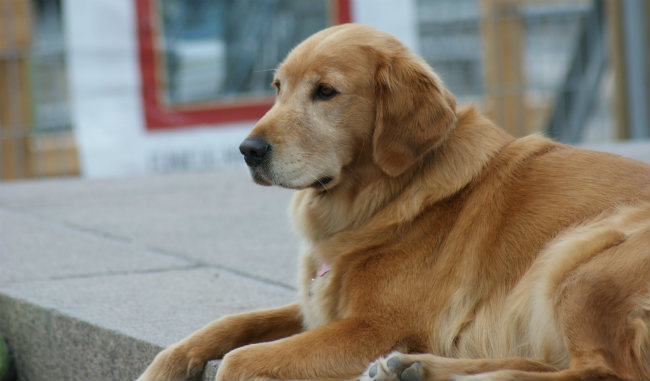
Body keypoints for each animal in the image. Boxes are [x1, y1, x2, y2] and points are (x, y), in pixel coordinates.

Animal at [138, 24, 648, 380]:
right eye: (278, 88)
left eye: (326, 92)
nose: (248, 150)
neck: (384, 201)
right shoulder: (318, 306)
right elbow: (227, 325)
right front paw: (164, 366)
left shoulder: (376, 327)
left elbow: (238, 360)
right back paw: (417, 367)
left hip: (579, 258)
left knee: (602, 371)